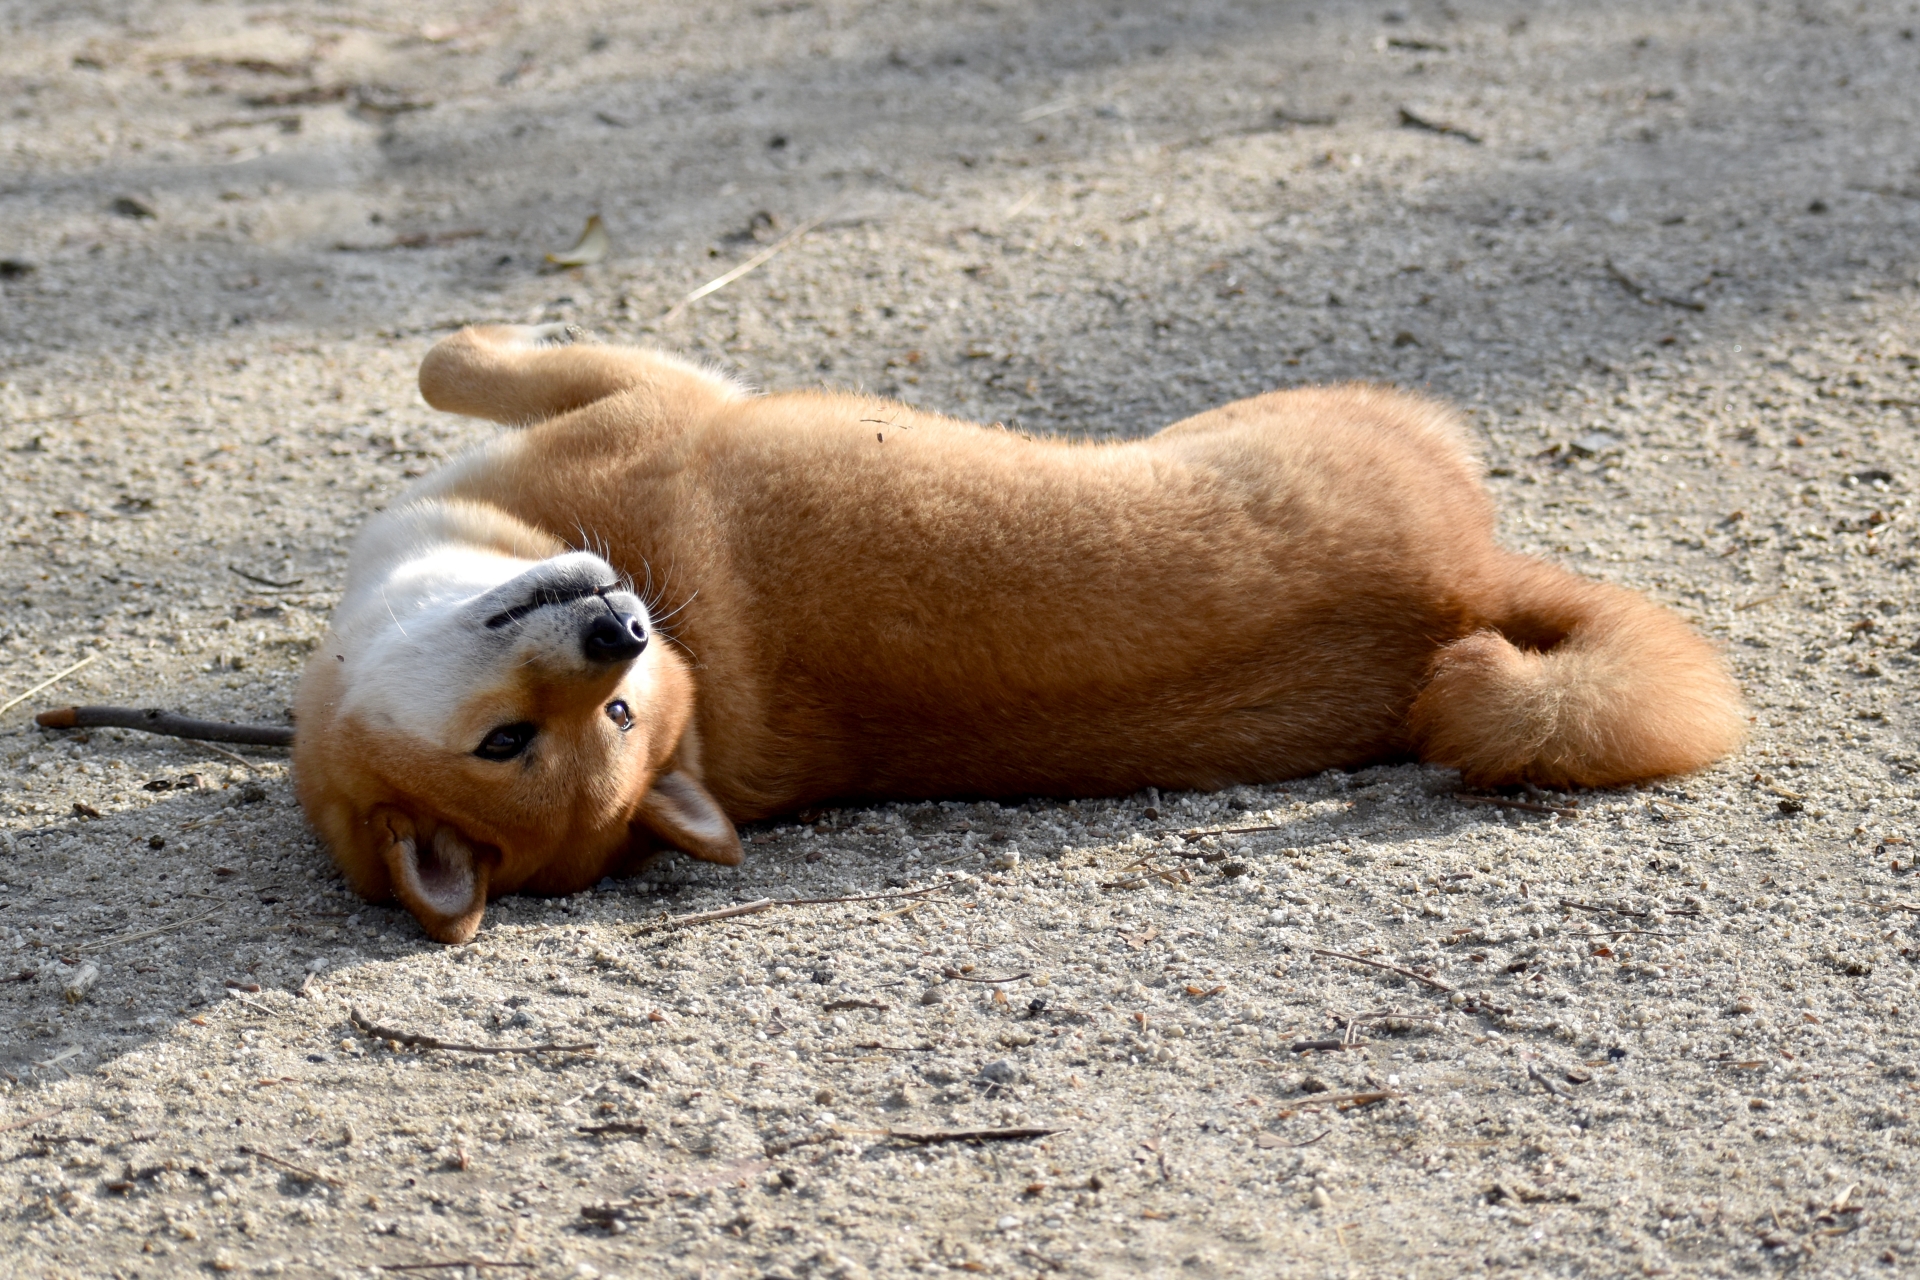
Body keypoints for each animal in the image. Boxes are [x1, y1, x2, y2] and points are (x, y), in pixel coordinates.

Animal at [291, 322, 1751, 940]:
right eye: (506, 744)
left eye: (614, 717)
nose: (621, 632)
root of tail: (1468, 588)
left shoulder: (646, 395)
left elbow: (448, 359)